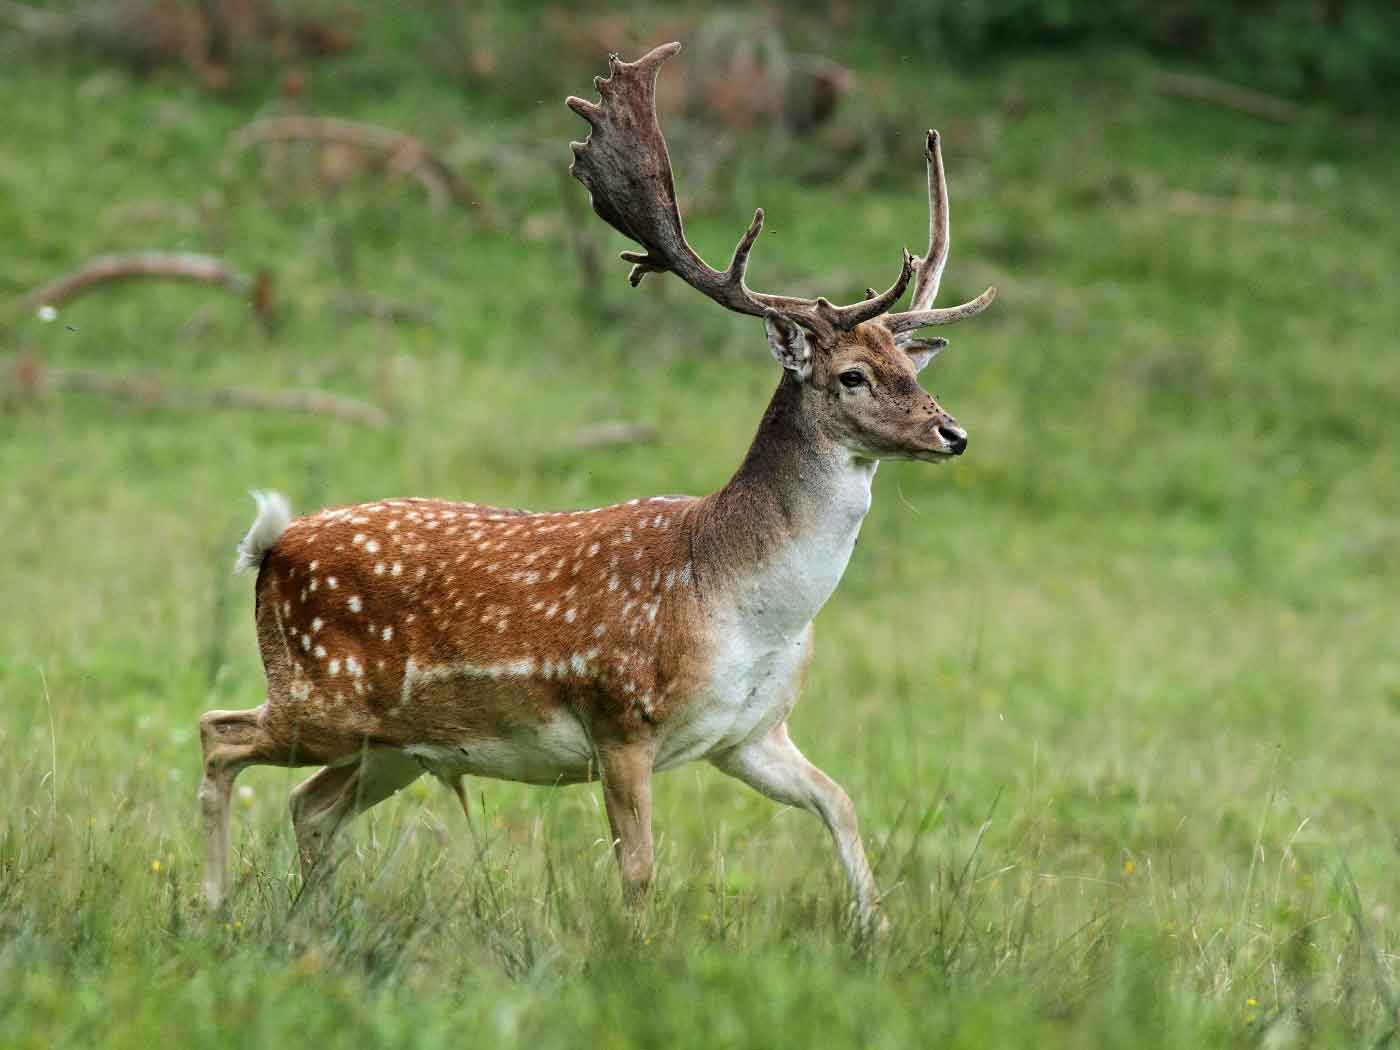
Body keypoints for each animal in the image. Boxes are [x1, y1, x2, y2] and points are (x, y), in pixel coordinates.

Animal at [204, 41, 996, 935]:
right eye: (853, 375)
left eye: (911, 368)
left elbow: (841, 803)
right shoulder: (620, 715)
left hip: (396, 743)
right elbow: (640, 869)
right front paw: (638, 953)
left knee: (308, 805)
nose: (952, 433)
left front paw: (877, 932)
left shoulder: (751, 735)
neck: (743, 606)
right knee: (218, 736)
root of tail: (270, 548)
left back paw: (316, 922)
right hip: (321, 696)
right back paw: (212, 902)